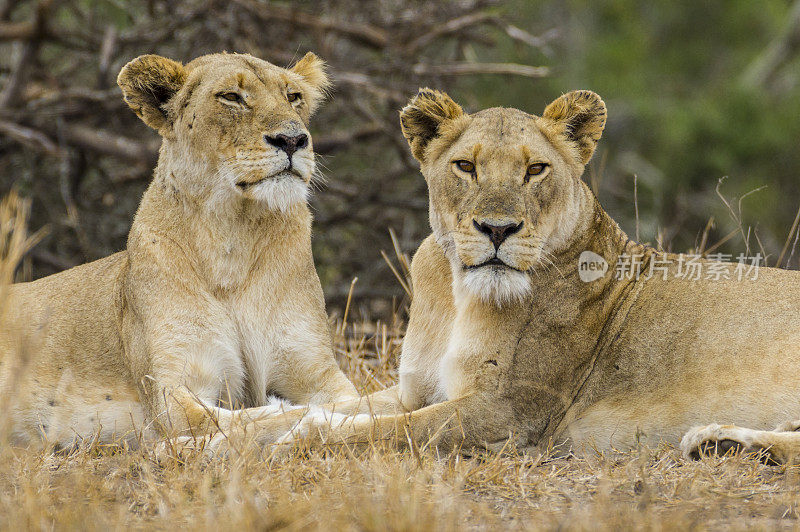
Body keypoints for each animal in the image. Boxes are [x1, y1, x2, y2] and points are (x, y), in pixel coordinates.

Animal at [0, 52, 360, 454]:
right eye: (231, 97)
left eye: (293, 96)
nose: (294, 139)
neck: (232, 236)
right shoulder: (172, 389)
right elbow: (233, 417)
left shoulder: (317, 372)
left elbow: (347, 399)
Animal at [286, 89, 800, 464]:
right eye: (465, 166)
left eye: (535, 169)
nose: (497, 229)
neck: (458, 295)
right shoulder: (416, 390)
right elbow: (339, 410)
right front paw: (272, 424)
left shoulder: (506, 415)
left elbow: (392, 430)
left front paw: (305, 438)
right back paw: (722, 443)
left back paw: (723, 442)